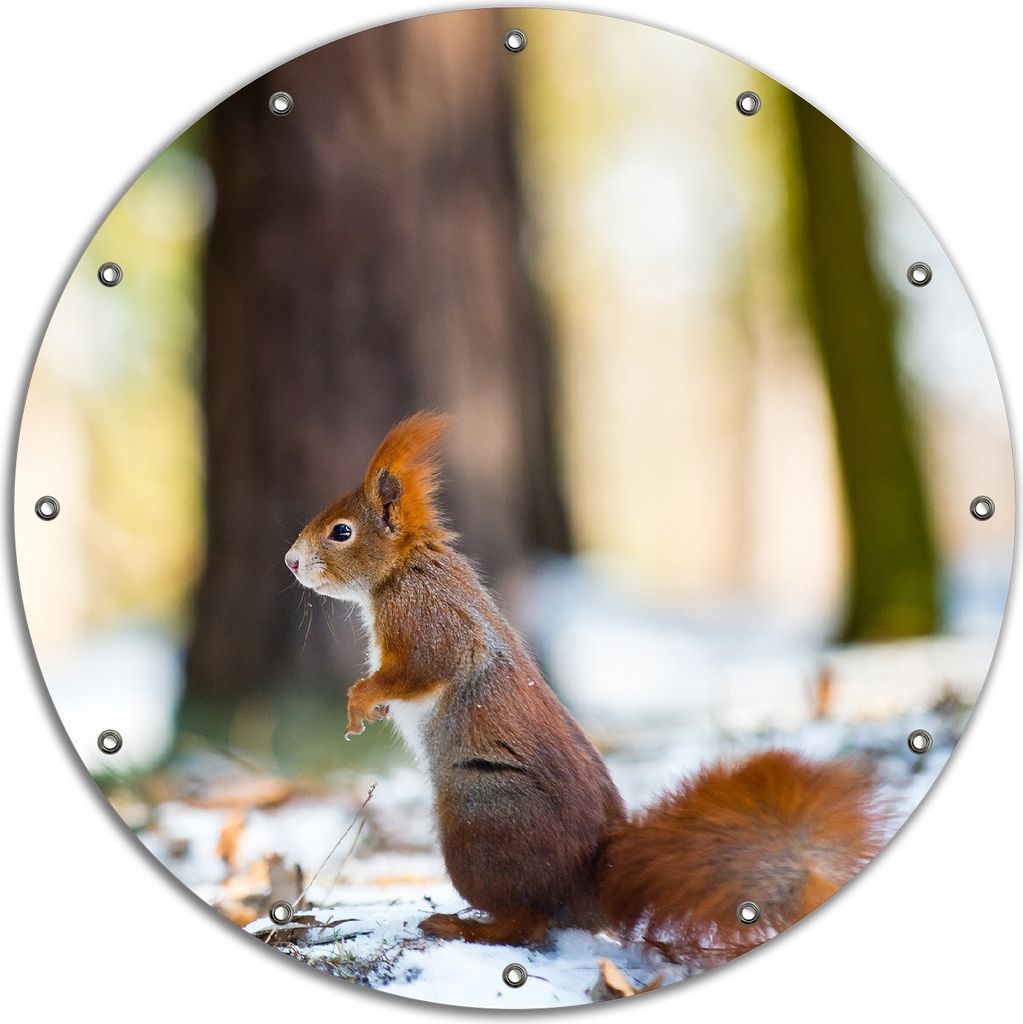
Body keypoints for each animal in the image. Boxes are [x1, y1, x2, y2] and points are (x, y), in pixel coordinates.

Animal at [285, 413, 889, 961]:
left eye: (342, 531)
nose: (290, 562)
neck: (405, 567)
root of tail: (588, 890)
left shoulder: (426, 618)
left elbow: (425, 667)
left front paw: (360, 701)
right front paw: (373, 707)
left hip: (478, 825)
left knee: (527, 923)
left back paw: (462, 926)